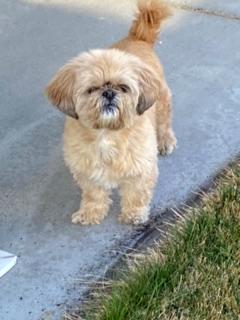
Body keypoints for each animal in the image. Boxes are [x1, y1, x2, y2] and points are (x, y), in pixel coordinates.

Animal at [45, 0, 176, 225]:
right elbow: (93, 194)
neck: (106, 133)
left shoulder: (142, 167)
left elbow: (136, 193)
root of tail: (137, 37)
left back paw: (166, 141)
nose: (108, 92)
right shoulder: (87, 172)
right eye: (91, 89)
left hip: (161, 103)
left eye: (123, 87)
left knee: (164, 122)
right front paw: (90, 212)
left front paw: (134, 214)